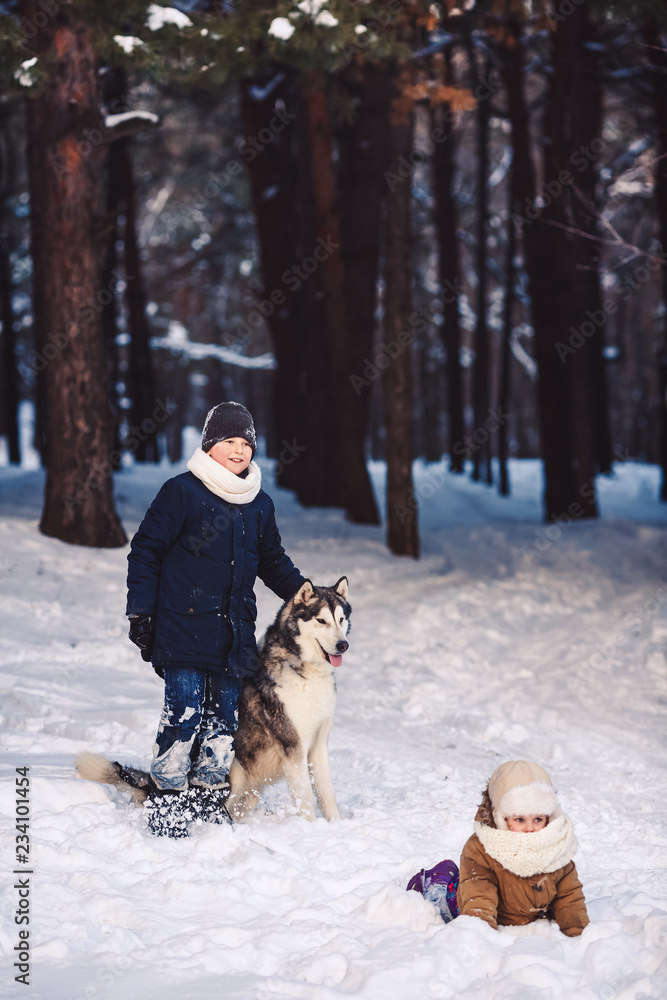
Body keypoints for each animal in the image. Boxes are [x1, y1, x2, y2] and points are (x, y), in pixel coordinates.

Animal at [75, 576, 350, 824]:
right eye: (321, 620)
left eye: (341, 620)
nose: (343, 645)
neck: (306, 671)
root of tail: (151, 791)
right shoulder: (293, 748)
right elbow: (305, 799)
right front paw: (311, 827)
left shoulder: (317, 746)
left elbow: (327, 794)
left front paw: (336, 825)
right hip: (235, 770)